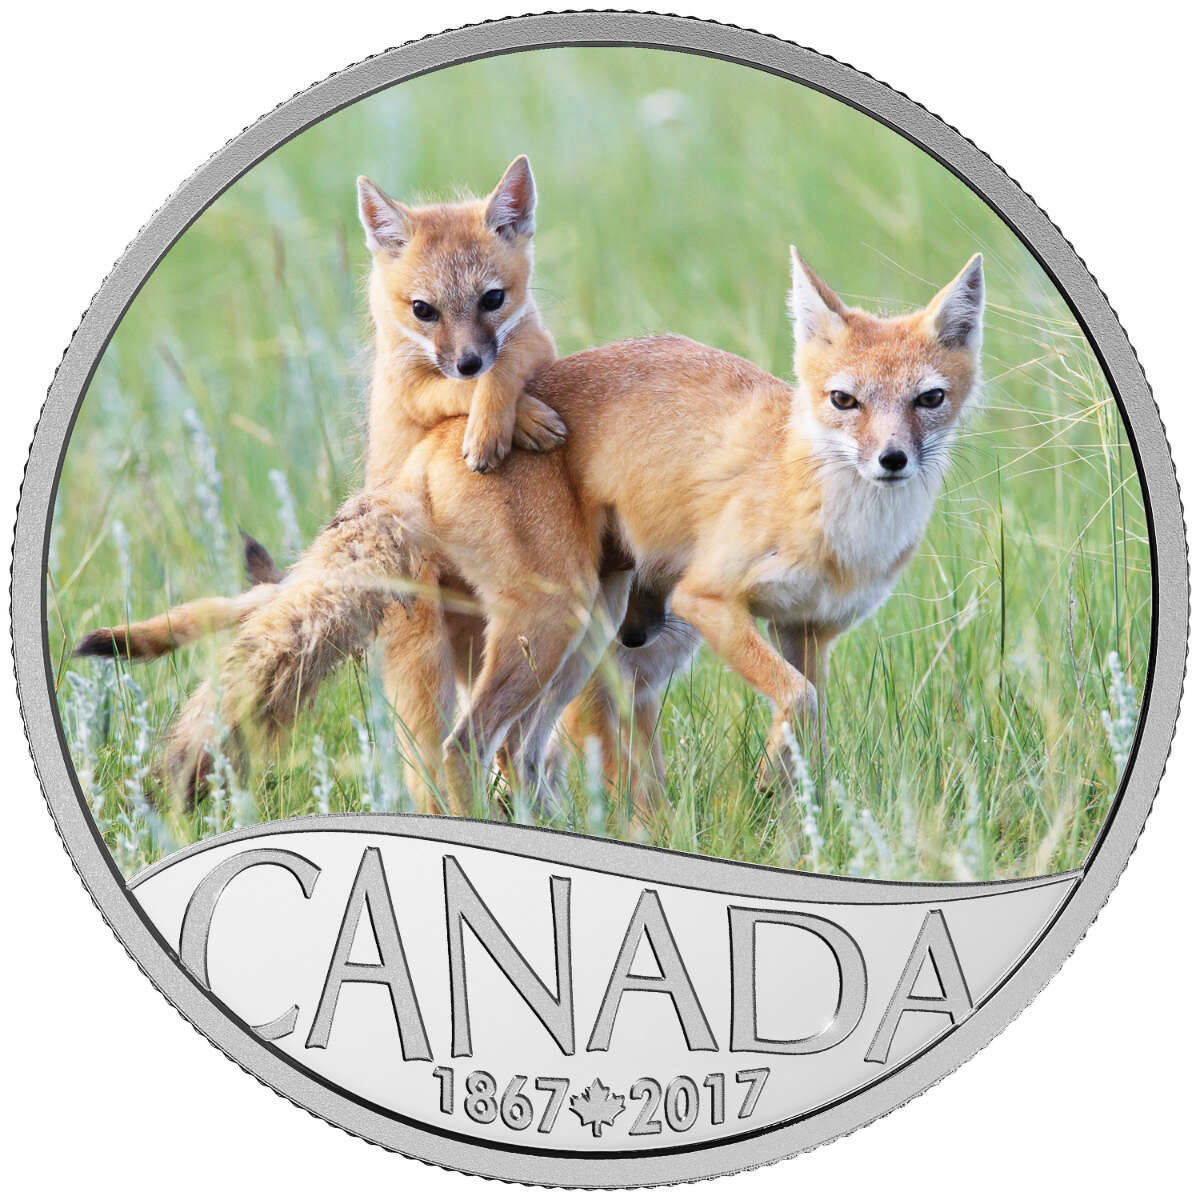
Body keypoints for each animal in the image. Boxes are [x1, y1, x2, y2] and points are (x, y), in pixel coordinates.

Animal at [90, 248, 983, 815]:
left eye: (928, 400)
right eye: (845, 401)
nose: (893, 460)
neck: (842, 526)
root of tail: (440, 437)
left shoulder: (807, 631)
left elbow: (808, 721)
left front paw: (797, 809)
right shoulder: (708, 600)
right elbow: (795, 703)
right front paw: (770, 789)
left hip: (582, 637)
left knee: (516, 752)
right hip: (558, 627)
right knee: (464, 746)